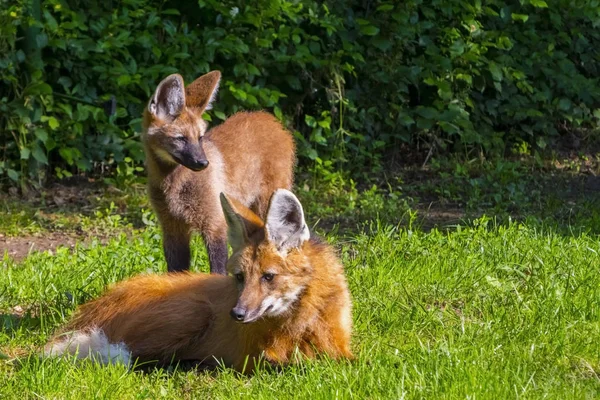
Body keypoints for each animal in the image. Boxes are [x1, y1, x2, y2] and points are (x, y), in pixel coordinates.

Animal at [45, 189, 352, 374]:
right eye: (240, 277)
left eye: (268, 277)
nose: (237, 313)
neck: (300, 316)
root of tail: (94, 304)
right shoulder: (254, 356)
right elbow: (295, 364)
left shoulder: (340, 346)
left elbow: (347, 361)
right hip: (195, 311)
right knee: (128, 356)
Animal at [144, 70, 298, 274]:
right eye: (181, 139)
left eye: (200, 138)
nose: (203, 163)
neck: (174, 184)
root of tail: (268, 117)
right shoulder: (173, 227)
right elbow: (175, 272)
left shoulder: (214, 224)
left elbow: (217, 270)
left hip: (267, 203)